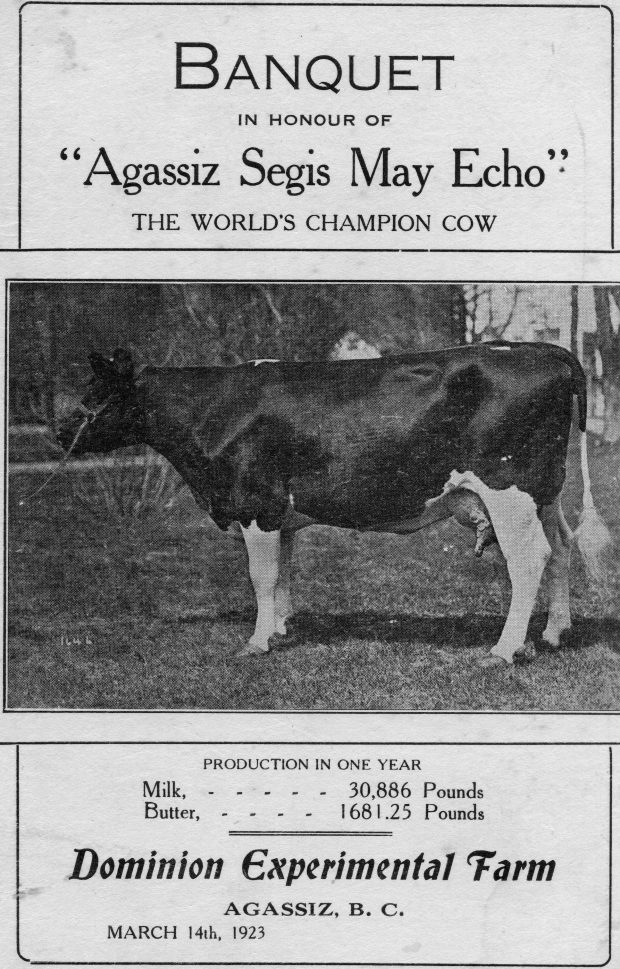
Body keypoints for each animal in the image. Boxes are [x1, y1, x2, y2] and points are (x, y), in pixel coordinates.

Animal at [55, 342, 608, 664]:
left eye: (95, 393)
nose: (59, 430)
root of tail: (542, 350)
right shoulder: (279, 514)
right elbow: (282, 572)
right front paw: (281, 628)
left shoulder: (255, 503)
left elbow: (261, 575)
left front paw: (257, 641)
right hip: (542, 492)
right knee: (561, 547)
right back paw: (555, 632)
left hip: (507, 489)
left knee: (530, 558)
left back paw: (506, 649)